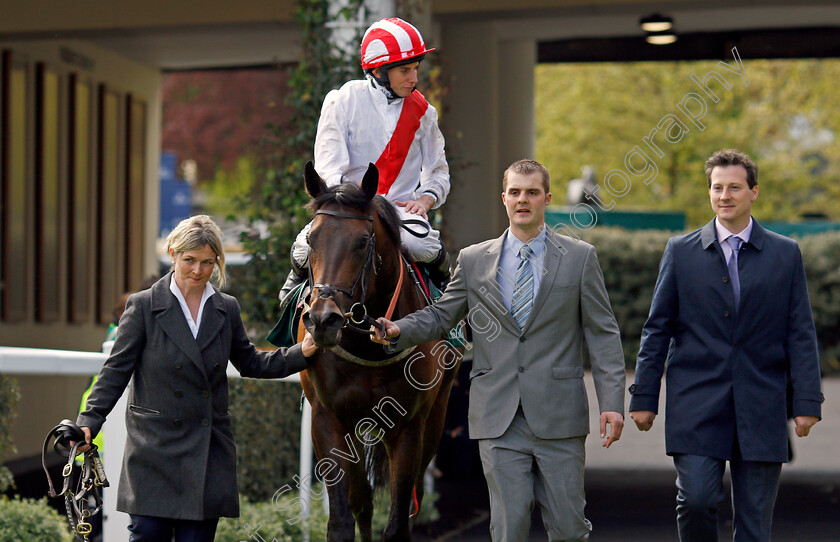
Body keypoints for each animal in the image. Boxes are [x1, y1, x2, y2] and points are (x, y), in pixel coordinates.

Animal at [298, 163, 462, 542]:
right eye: (311, 240)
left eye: (361, 242)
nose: (323, 319)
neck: (365, 346)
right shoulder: (328, 420)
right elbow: (345, 518)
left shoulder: (408, 425)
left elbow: (399, 523)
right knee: (363, 501)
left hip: (435, 417)